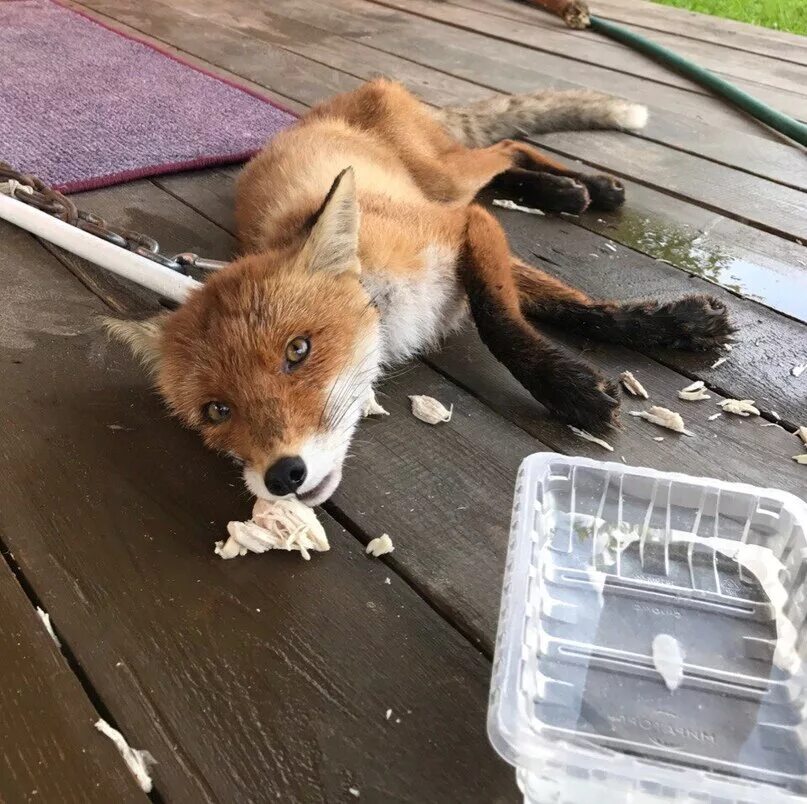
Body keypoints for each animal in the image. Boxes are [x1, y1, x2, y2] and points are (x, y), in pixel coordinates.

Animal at [110, 78, 736, 506]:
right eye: (217, 410)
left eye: (298, 351)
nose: (283, 476)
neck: (389, 308)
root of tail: (347, 96)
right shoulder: (470, 244)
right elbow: (564, 306)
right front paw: (666, 327)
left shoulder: (463, 230)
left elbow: (512, 320)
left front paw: (574, 384)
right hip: (449, 183)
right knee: (504, 161)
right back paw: (565, 191)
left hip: (446, 179)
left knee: (507, 148)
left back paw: (586, 187)